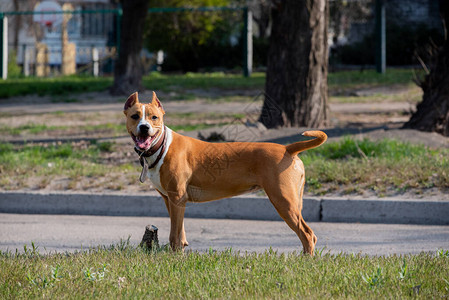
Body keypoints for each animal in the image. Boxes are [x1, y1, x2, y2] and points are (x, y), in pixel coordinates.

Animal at [122, 92, 326, 255]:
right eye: (135, 116)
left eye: (154, 117)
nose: (144, 127)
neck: (162, 146)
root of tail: (287, 149)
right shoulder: (170, 200)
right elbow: (180, 231)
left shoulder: (177, 198)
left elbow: (175, 235)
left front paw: (174, 256)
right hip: (293, 201)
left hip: (283, 201)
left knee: (307, 234)